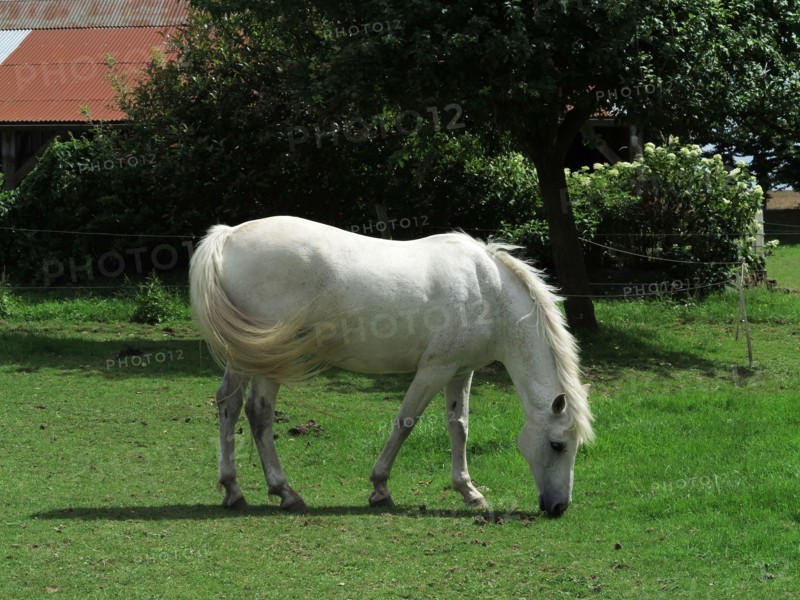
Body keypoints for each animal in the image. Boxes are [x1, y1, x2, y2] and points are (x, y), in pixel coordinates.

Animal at [189, 216, 593, 518]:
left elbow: (458, 427)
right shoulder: (434, 370)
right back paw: (285, 492)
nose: (558, 507)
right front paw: (380, 487)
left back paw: (233, 491)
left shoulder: (460, 371)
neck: (487, 290)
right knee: (258, 413)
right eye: (557, 445)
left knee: (228, 405)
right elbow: (405, 422)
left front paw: (469, 491)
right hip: (268, 361)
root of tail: (227, 237)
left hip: (243, 357)